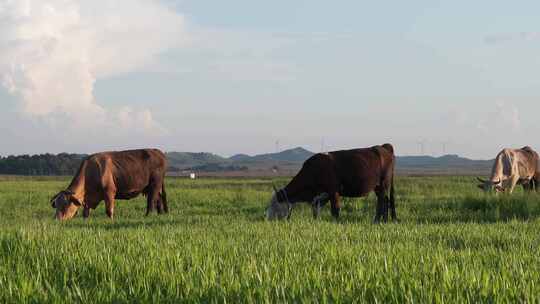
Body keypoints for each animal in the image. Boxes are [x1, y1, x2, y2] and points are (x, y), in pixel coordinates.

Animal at [266, 144, 396, 222]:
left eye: (275, 204)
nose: (268, 219)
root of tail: (383, 147)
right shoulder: (321, 196)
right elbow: (316, 211)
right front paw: (316, 222)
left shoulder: (333, 191)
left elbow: (335, 210)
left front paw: (336, 223)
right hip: (378, 187)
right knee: (385, 200)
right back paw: (384, 220)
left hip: (383, 183)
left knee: (382, 201)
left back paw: (377, 220)